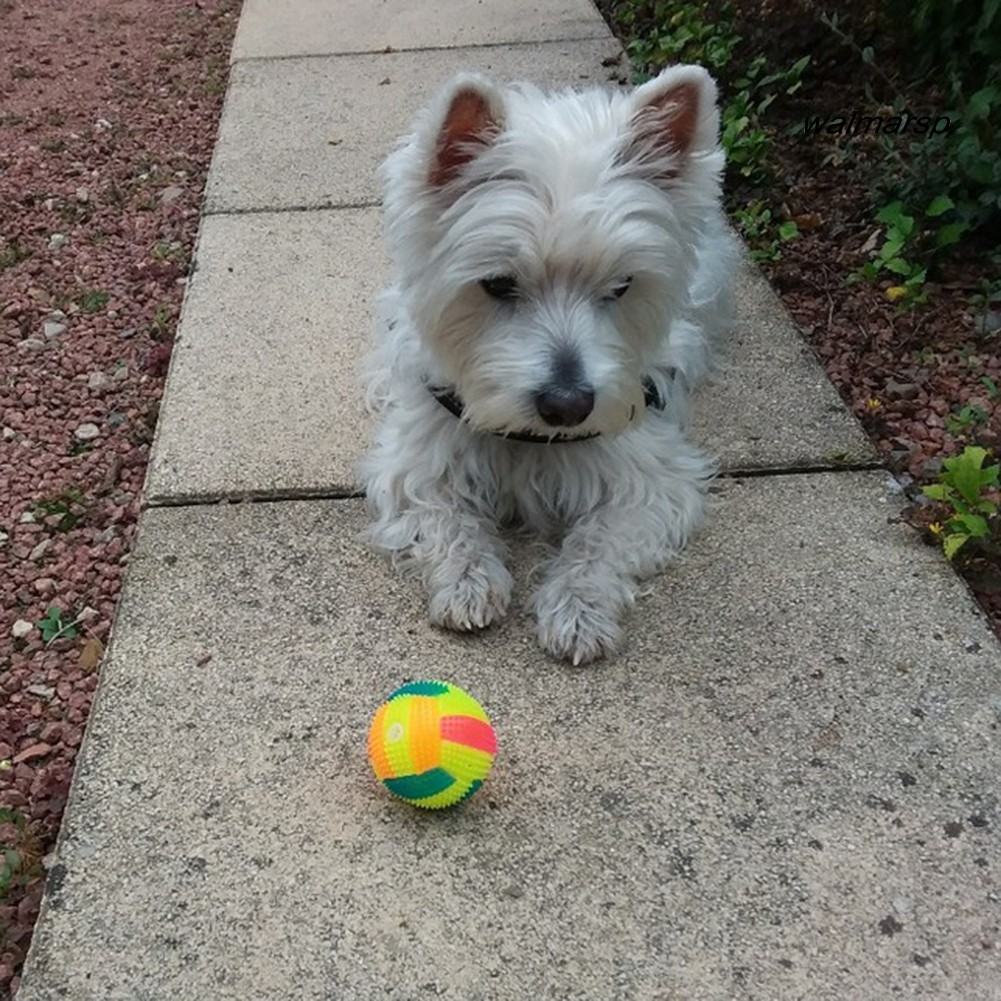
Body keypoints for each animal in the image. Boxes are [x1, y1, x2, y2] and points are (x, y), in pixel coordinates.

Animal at [358, 64, 736, 664]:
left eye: (622, 286)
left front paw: (578, 611)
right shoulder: (417, 462)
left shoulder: (652, 477)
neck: (526, 439)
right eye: (496, 284)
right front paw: (468, 582)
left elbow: (602, 540)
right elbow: (445, 518)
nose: (568, 406)